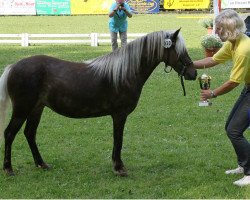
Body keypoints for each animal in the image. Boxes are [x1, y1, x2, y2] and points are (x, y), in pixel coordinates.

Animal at [0, 28, 196, 176]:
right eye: (180, 51)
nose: (193, 73)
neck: (124, 72)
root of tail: (13, 66)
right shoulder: (119, 115)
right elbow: (118, 139)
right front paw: (119, 168)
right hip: (22, 109)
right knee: (9, 133)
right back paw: (8, 169)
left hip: (36, 109)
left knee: (30, 133)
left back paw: (41, 164)